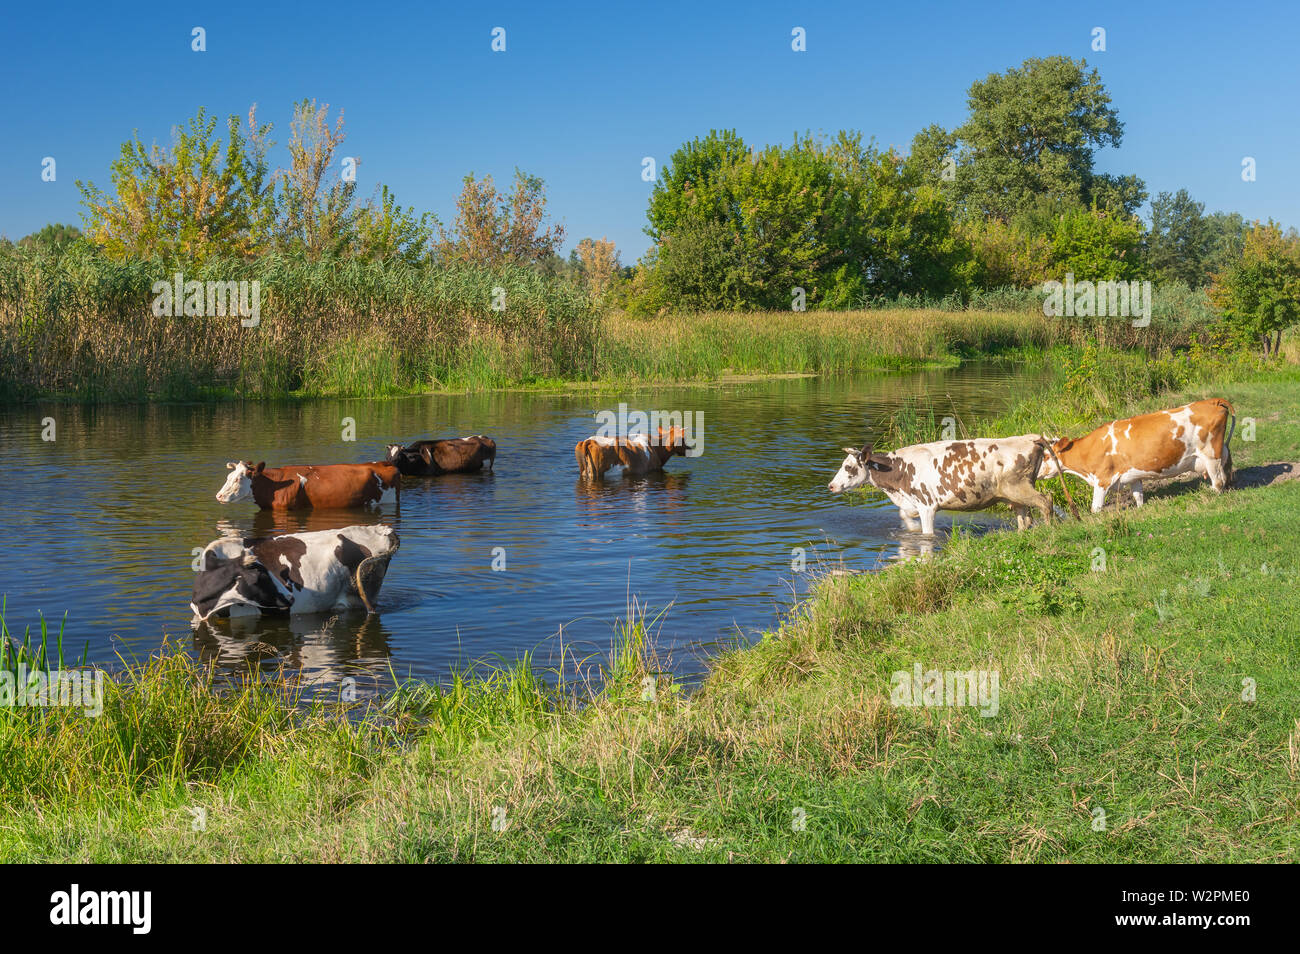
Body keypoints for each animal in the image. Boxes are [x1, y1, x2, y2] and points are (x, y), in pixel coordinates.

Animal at [826, 436, 1050, 535]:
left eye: (848, 467)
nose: (831, 486)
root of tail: (1031, 438)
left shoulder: (927, 505)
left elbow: (927, 534)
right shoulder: (911, 502)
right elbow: (904, 515)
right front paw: (912, 528)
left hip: (1019, 488)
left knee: (1045, 501)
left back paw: (1050, 530)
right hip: (1016, 494)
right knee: (1024, 516)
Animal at [1034, 397, 1237, 514]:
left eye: (1045, 456)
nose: (1035, 474)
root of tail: (1213, 401)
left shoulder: (1102, 480)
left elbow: (1095, 508)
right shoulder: (1133, 477)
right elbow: (1138, 497)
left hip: (1210, 455)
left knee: (1218, 482)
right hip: (1221, 451)